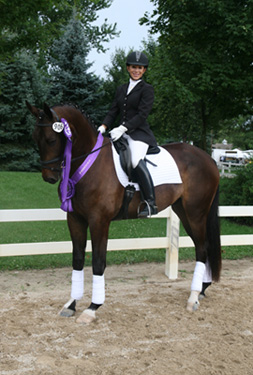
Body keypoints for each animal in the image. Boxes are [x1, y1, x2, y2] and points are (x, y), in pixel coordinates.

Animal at [24, 101, 220, 324]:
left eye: (51, 139)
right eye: (35, 138)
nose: (49, 177)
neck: (90, 162)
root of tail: (208, 158)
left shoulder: (99, 221)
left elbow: (98, 262)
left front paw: (92, 308)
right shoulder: (75, 218)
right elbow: (78, 259)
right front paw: (71, 304)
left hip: (196, 212)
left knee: (202, 249)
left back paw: (193, 297)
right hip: (183, 211)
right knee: (203, 247)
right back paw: (202, 289)